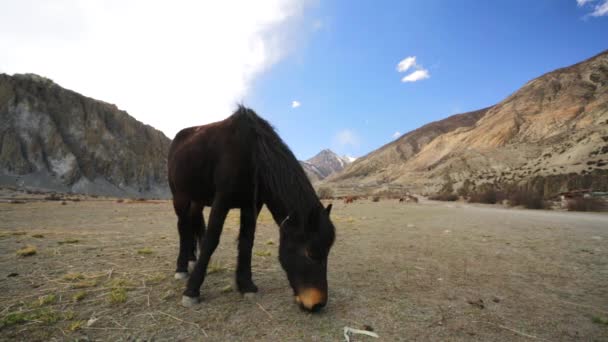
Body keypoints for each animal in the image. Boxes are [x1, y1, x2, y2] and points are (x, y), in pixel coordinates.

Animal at [169, 107, 334, 312]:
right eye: (310, 253)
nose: (318, 304)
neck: (251, 154)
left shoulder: (251, 205)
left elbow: (247, 241)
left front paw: (246, 285)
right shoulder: (222, 200)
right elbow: (211, 241)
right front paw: (191, 291)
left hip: (197, 200)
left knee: (193, 223)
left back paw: (192, 259)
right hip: (180, 197)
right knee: (183, 228)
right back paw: (182, 267)